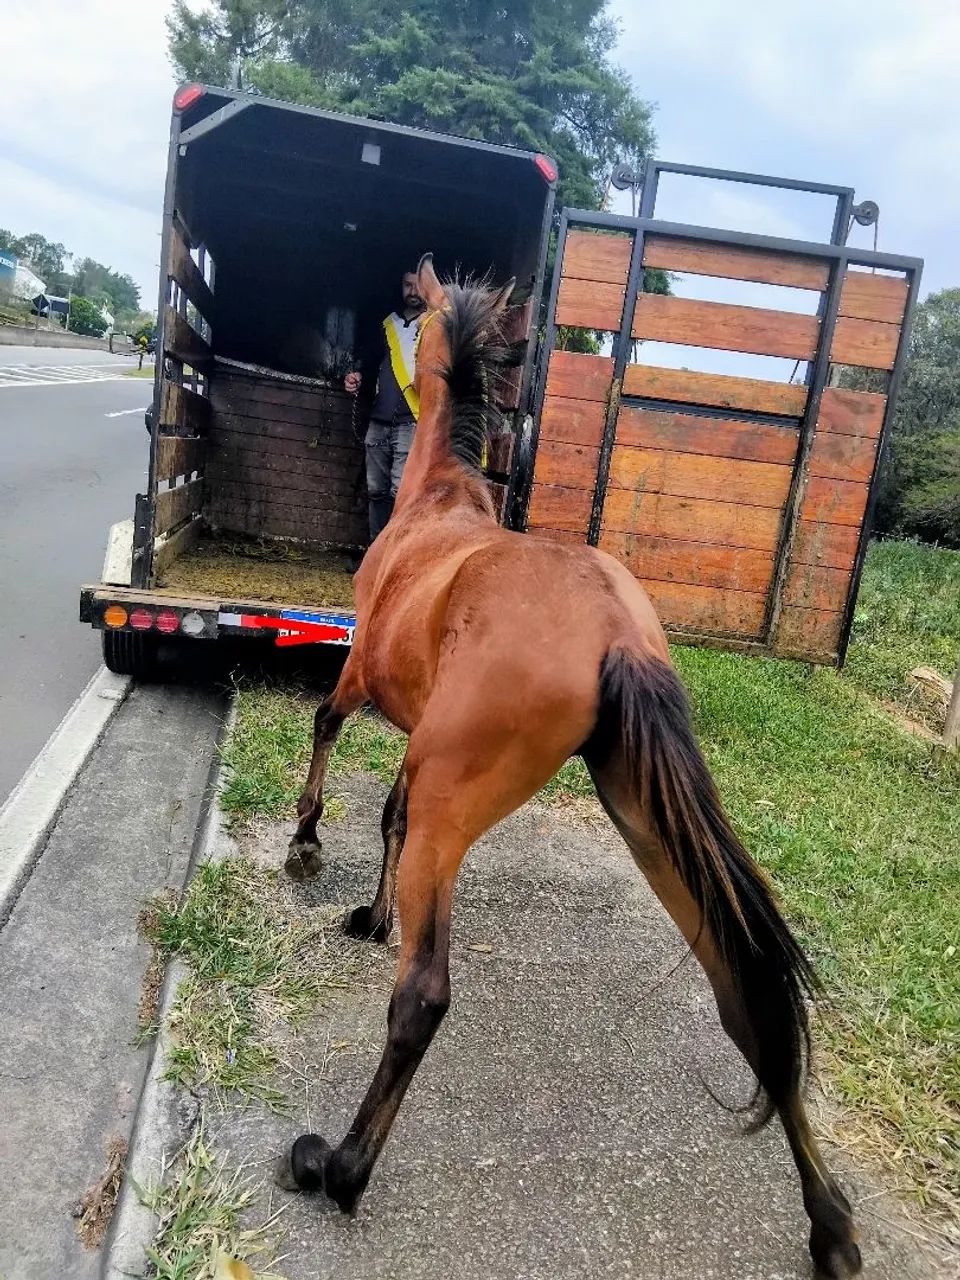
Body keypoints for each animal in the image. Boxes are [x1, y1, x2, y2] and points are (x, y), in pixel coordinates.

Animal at [274, 255, 862, 1279]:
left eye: (415, 309)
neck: (436, 502)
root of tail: (618, 632)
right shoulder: (419, 744)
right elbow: (385, 814)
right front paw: (372, 913)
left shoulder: (358, 676)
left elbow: (326, 730)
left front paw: (307, 844)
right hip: (641, 821)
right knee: (747, 1002)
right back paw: (829, 1228)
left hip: (465, 807)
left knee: (423, 996)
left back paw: (337, 1168)